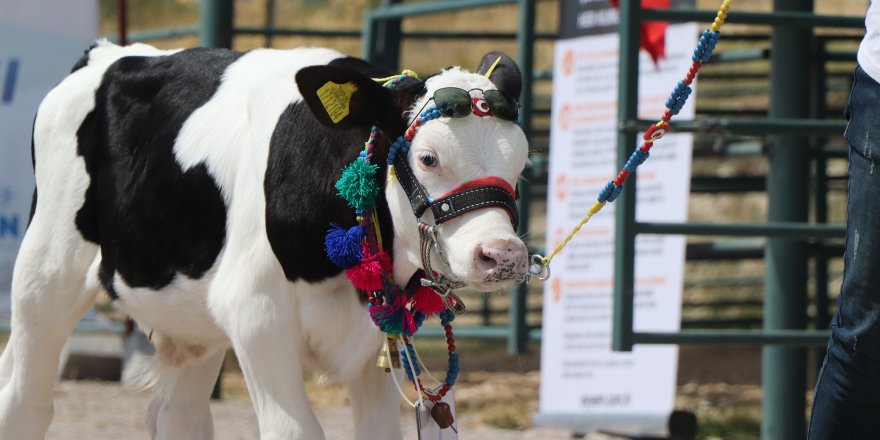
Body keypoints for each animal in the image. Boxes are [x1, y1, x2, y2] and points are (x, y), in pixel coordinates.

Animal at [0, 40, 528, 436]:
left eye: (523, 160)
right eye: (428, 158)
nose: (502, 255)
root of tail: (110, 52)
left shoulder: (375, 343)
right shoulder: (255, 313)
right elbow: (295, 430)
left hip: (192, 319)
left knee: (180, 417)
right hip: (45, 271)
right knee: (25, 402)